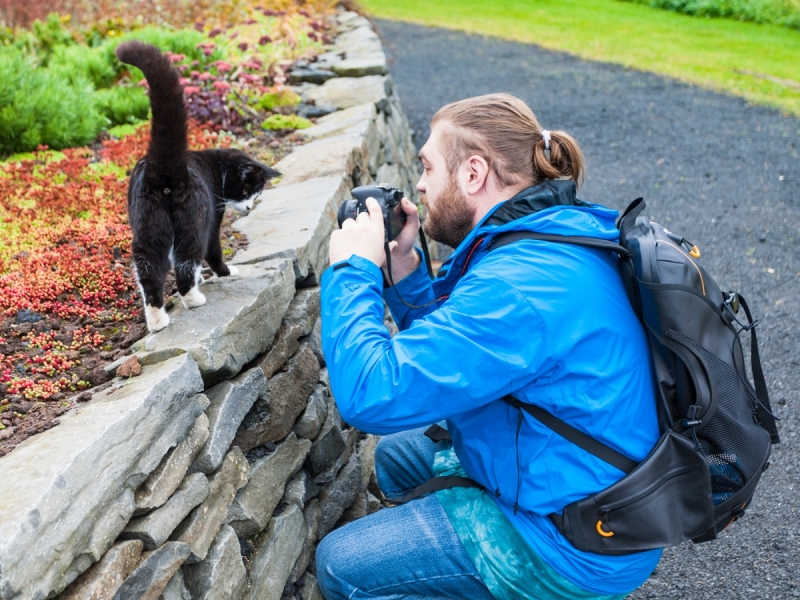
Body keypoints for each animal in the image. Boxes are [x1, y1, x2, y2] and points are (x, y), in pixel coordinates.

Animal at [114, 41, 280, 332]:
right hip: (194, 220)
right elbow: (213, 251)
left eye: (257, 195)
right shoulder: (214, 217)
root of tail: (167, 166)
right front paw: (226, 272)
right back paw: (193, 299)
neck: (216, 166)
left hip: (148, 226)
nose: (249, 208)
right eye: (246, 192)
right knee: (187, 258)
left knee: (149, 270)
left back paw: (157, 321)